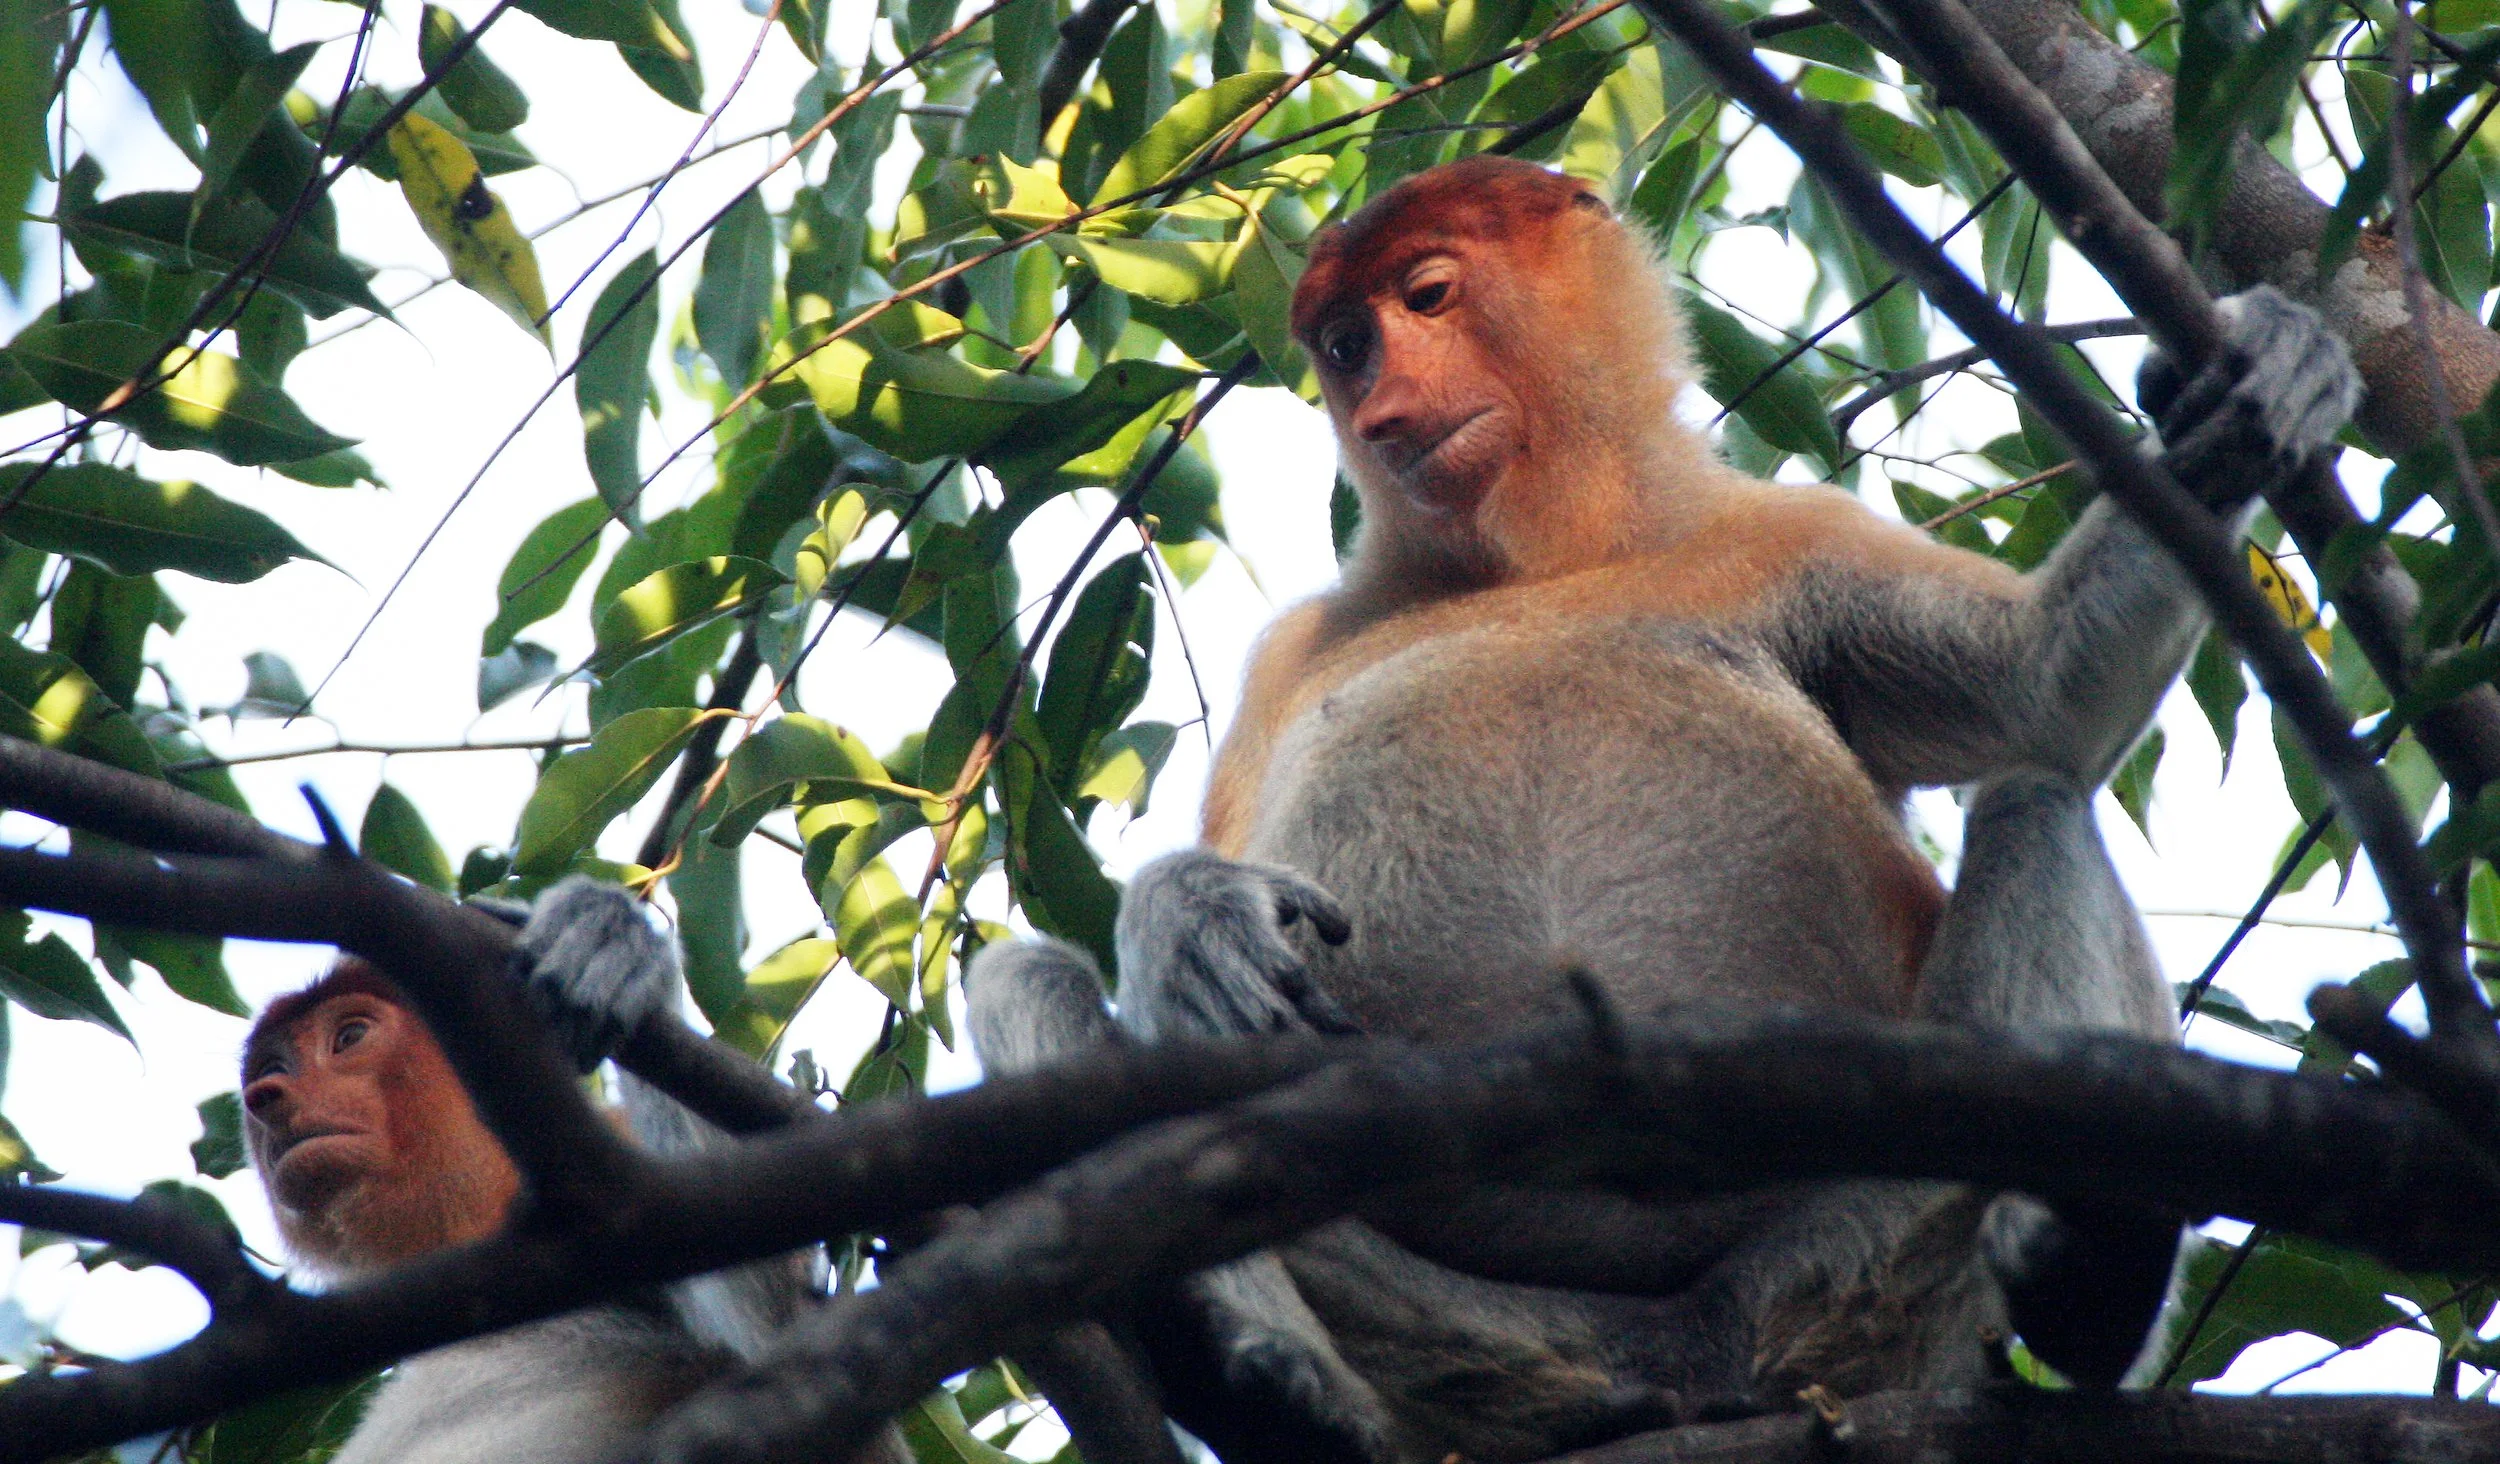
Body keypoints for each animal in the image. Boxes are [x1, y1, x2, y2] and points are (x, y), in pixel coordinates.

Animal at [967, 155, 2362, 1463]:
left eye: (1424, 297)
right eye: (1345, 343)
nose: (1378, 407)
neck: (1553, 555)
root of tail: (1683, 1355)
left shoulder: (1795, 536)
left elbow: (2041, 693)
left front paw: (2260, 385)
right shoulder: (1291, 654)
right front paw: (1194, 913)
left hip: (1882, 1252)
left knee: (2035, 805)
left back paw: (2096, 1267)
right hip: (1445, 1323)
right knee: (1025, 980)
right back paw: (1264, 1379)